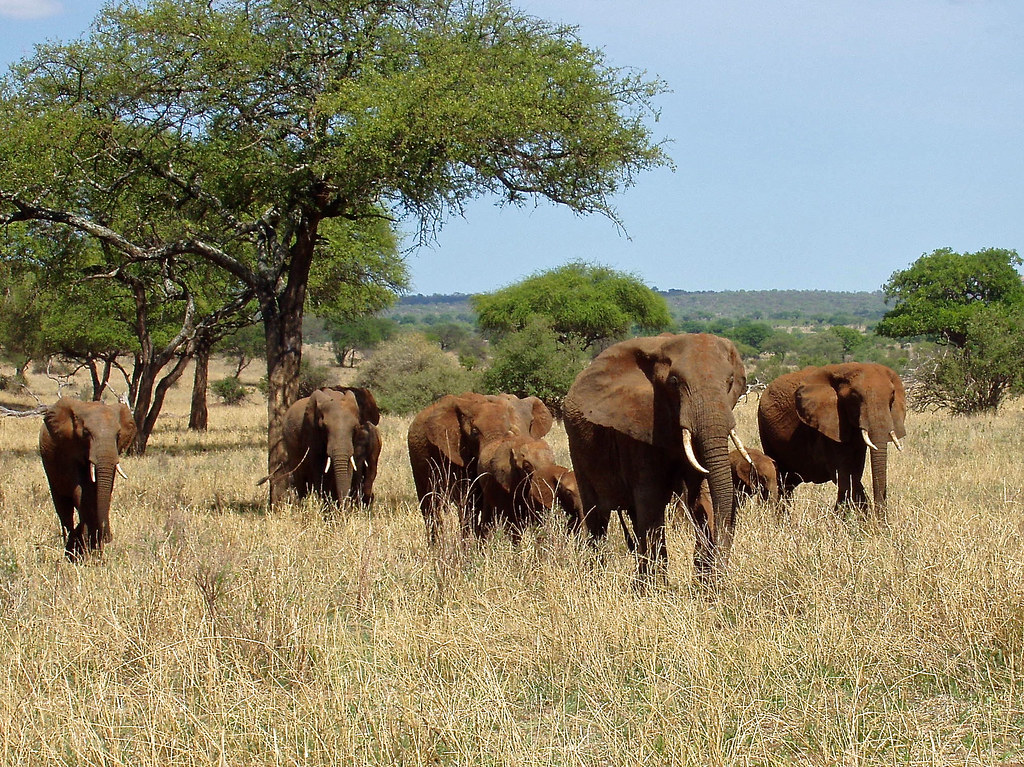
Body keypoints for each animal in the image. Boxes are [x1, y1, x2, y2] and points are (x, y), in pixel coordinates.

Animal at [38, 397, 136, 561]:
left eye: (118, 435)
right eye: (86, 433)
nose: (108, 537)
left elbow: (103, 491)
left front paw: (94, 550)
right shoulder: (69, 449)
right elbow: (81, 492)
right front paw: (83, 551)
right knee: (63, 509)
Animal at [757, 362, 909, 518]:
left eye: (892, 396)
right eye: (854, 397)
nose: (880, 520)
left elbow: (854, 474)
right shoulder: (830, 424)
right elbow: (845, 476)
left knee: (788, 484)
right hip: (765, 429)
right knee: (780, 480)